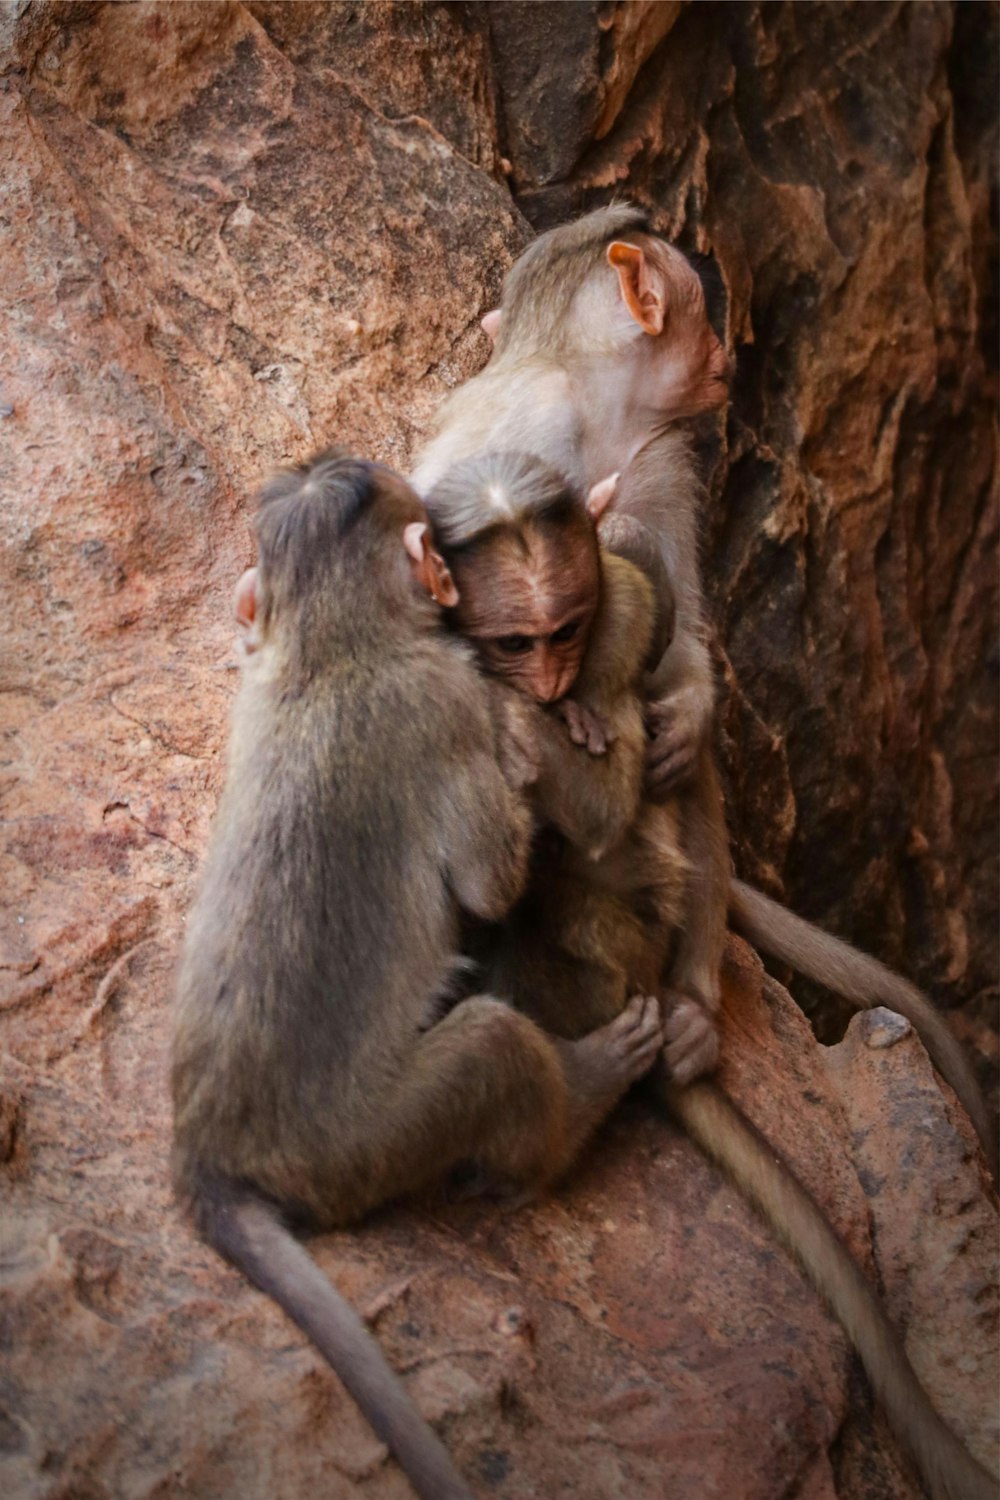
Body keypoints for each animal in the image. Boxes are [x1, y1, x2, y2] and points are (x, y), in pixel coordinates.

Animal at [173, 447, 671, 1500]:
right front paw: (524, 744)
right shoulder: (445, 703)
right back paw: (584, 1093)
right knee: (492, 1052)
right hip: (367, 1143)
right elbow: (487, 883)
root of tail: (209, 1158)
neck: (328, 649)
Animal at [410, 202, 995, 1182]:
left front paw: (683, 707)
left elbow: (678, 627)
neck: (600, 416)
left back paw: (690, 1009)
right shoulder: (524, 425)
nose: (726, 350)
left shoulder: (664, 463)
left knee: (684, 767)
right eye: (696, 303)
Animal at [425, 450, 995, 1500]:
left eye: (562, 630)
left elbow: (619, 771)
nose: (550, 678)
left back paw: (673, 1021)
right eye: (517, 636)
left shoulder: (614, 624)